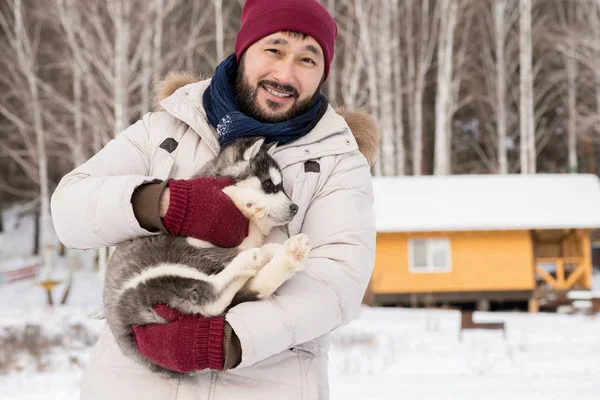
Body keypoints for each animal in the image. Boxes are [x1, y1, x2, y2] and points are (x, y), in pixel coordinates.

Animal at [102, 138, 310, 378]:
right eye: (269, 184)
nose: (295, 208)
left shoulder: (243, 240)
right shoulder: (195, 235)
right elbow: (229, 195)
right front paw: (247, 201)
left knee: (245, 287)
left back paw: (286, 253)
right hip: (154, 273)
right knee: (212, 297)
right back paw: (254, 257)